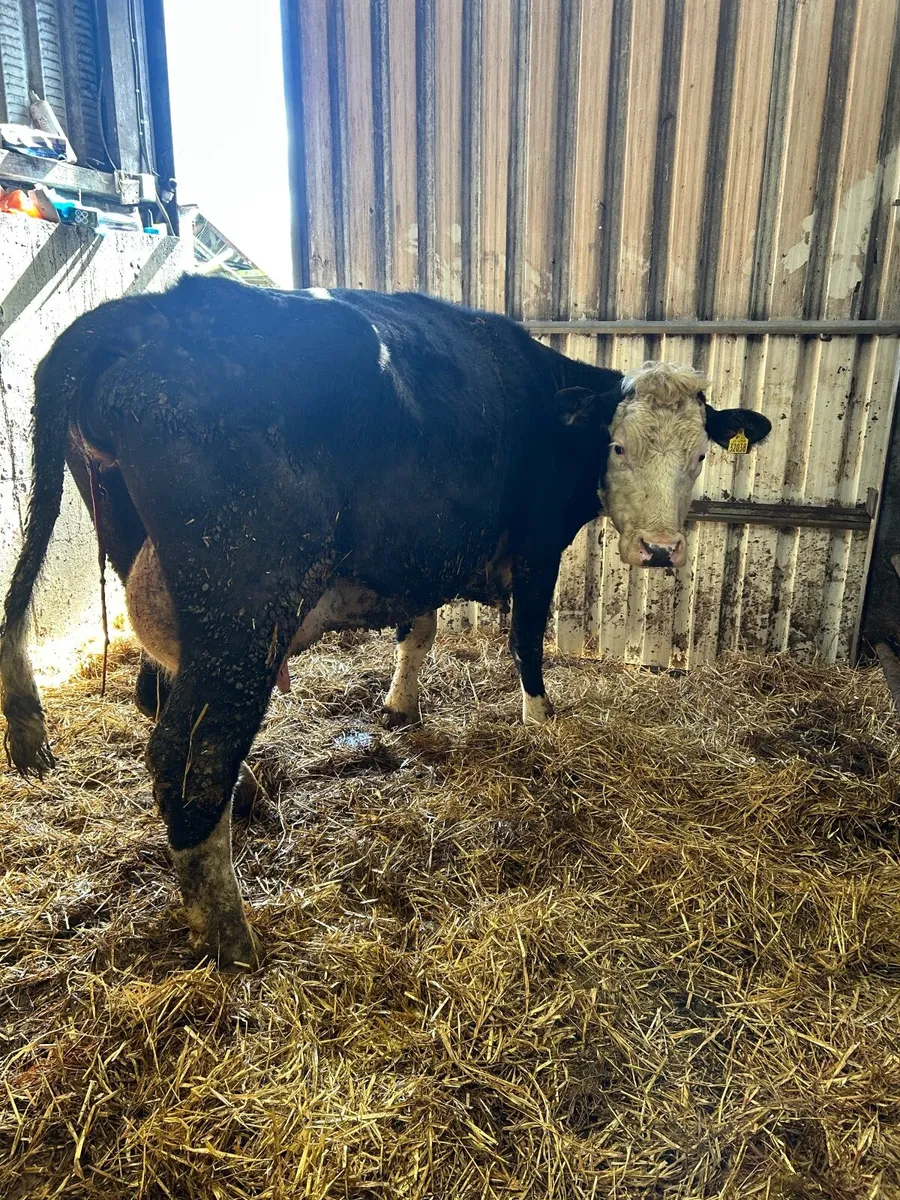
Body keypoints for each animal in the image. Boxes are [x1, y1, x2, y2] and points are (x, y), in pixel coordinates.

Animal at [0, 276, 770, 968]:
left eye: (699, 454)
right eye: (617, 447)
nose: (661, 549)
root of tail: (145, 312)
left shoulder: (421, 549)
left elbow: (419, 632)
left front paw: (401, 704)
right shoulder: (536, 545)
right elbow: (527, 641)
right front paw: (540, 721)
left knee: (156, 706)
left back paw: (241, 811)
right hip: (242, 612)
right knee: (191, 753)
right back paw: (232, 939)